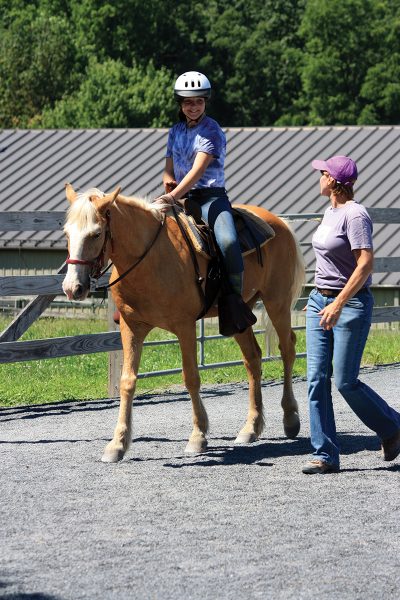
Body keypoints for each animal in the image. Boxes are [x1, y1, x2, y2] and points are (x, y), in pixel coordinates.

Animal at [63, 185, 304, 462]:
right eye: (67, 233)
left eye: (96, 233)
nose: (72, 288)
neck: (151, 259)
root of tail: (280, 223)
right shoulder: (131, 327)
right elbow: (127, 381)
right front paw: (117, 444)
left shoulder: (184, 326)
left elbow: (191, 377)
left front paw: (198, 437)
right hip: (238, 316)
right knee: (253, 358)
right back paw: (250, 428)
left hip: (277, 302)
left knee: (287, 350)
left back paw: (290, 418)